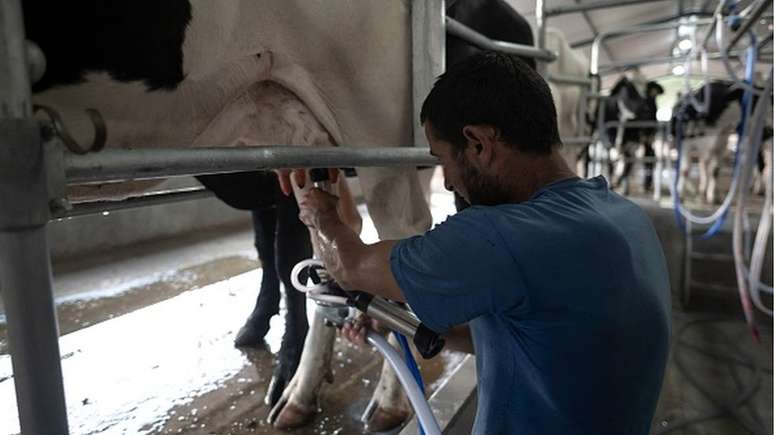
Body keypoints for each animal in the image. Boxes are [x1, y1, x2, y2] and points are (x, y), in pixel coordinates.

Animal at [24, 0, 434, 430]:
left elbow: (283, 257)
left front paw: (282, 359)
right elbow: (267, 252)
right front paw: (262, 332)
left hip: (372, 111)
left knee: (402, 231)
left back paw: (389, 397)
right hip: (306, 135)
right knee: (338, 241)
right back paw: (303, 392)